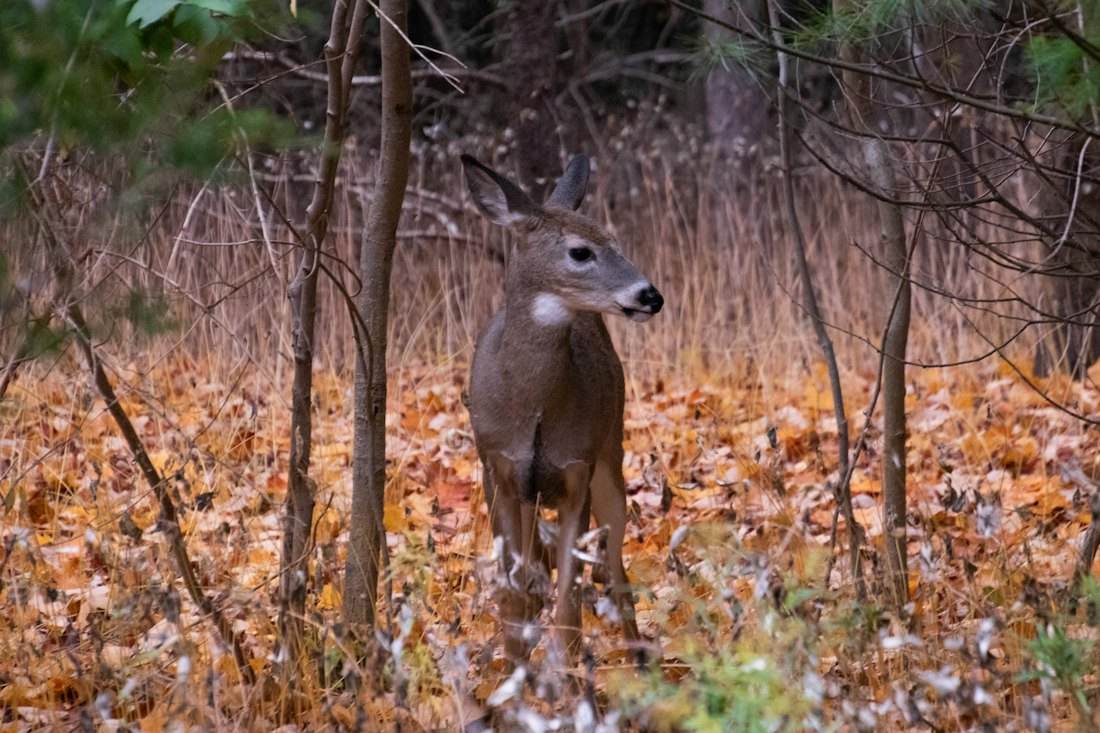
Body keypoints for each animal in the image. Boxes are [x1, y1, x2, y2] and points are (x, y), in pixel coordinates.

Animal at [461, 153, 664, 667]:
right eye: (580, 252)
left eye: (615, 242)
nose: (650, 295)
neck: (533, 411)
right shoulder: (498, 469)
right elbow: (514, 596)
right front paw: (515, 672)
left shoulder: (577, 469)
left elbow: (570, 603)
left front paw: (568, 673)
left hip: (610, 456)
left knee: (615, 569)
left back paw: (639, 659)